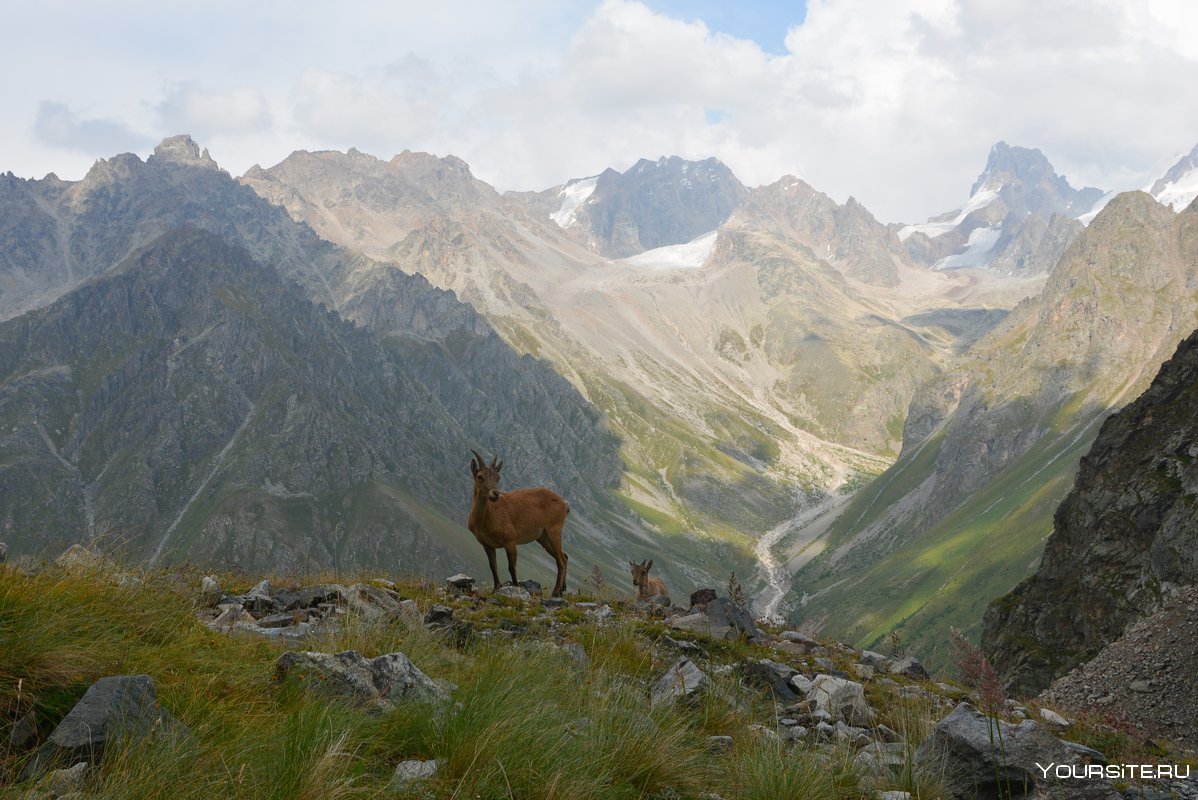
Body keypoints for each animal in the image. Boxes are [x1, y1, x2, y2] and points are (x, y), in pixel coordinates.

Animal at [464, 450, 567, 594]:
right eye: (480, 476)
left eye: (497, 477)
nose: (496, 494)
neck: (488, 518)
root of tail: (564, 504)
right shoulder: (487, 544)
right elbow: (492, 566)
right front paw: (496, 588)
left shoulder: (510, 541)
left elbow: (511, 567)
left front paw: (516, 587)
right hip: (543, 537)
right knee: (565, 556)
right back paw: (563, 588)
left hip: (554, 530)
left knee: (561, 560)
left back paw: (556, 591)